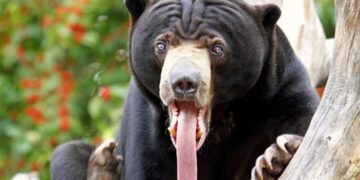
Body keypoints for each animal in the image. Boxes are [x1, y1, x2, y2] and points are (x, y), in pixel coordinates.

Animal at [50, 0, 318, 179]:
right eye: (161, 45)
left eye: (217, 48)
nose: (184, 83)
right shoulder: (146, 121)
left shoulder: (279, 83)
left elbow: (302, 117)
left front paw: (278, 157)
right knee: (67, 155)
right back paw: (102, 165)